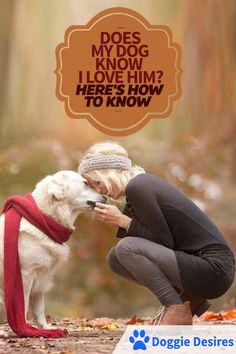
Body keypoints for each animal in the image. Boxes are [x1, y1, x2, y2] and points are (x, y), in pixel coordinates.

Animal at [0, 171, 105, 330]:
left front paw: (45, 329)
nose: (105, 198)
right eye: (85, 183)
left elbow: (39, 308)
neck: (44, 220)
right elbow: (23, 305)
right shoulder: (25, 275)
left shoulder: (41, 277)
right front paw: (23, 328)